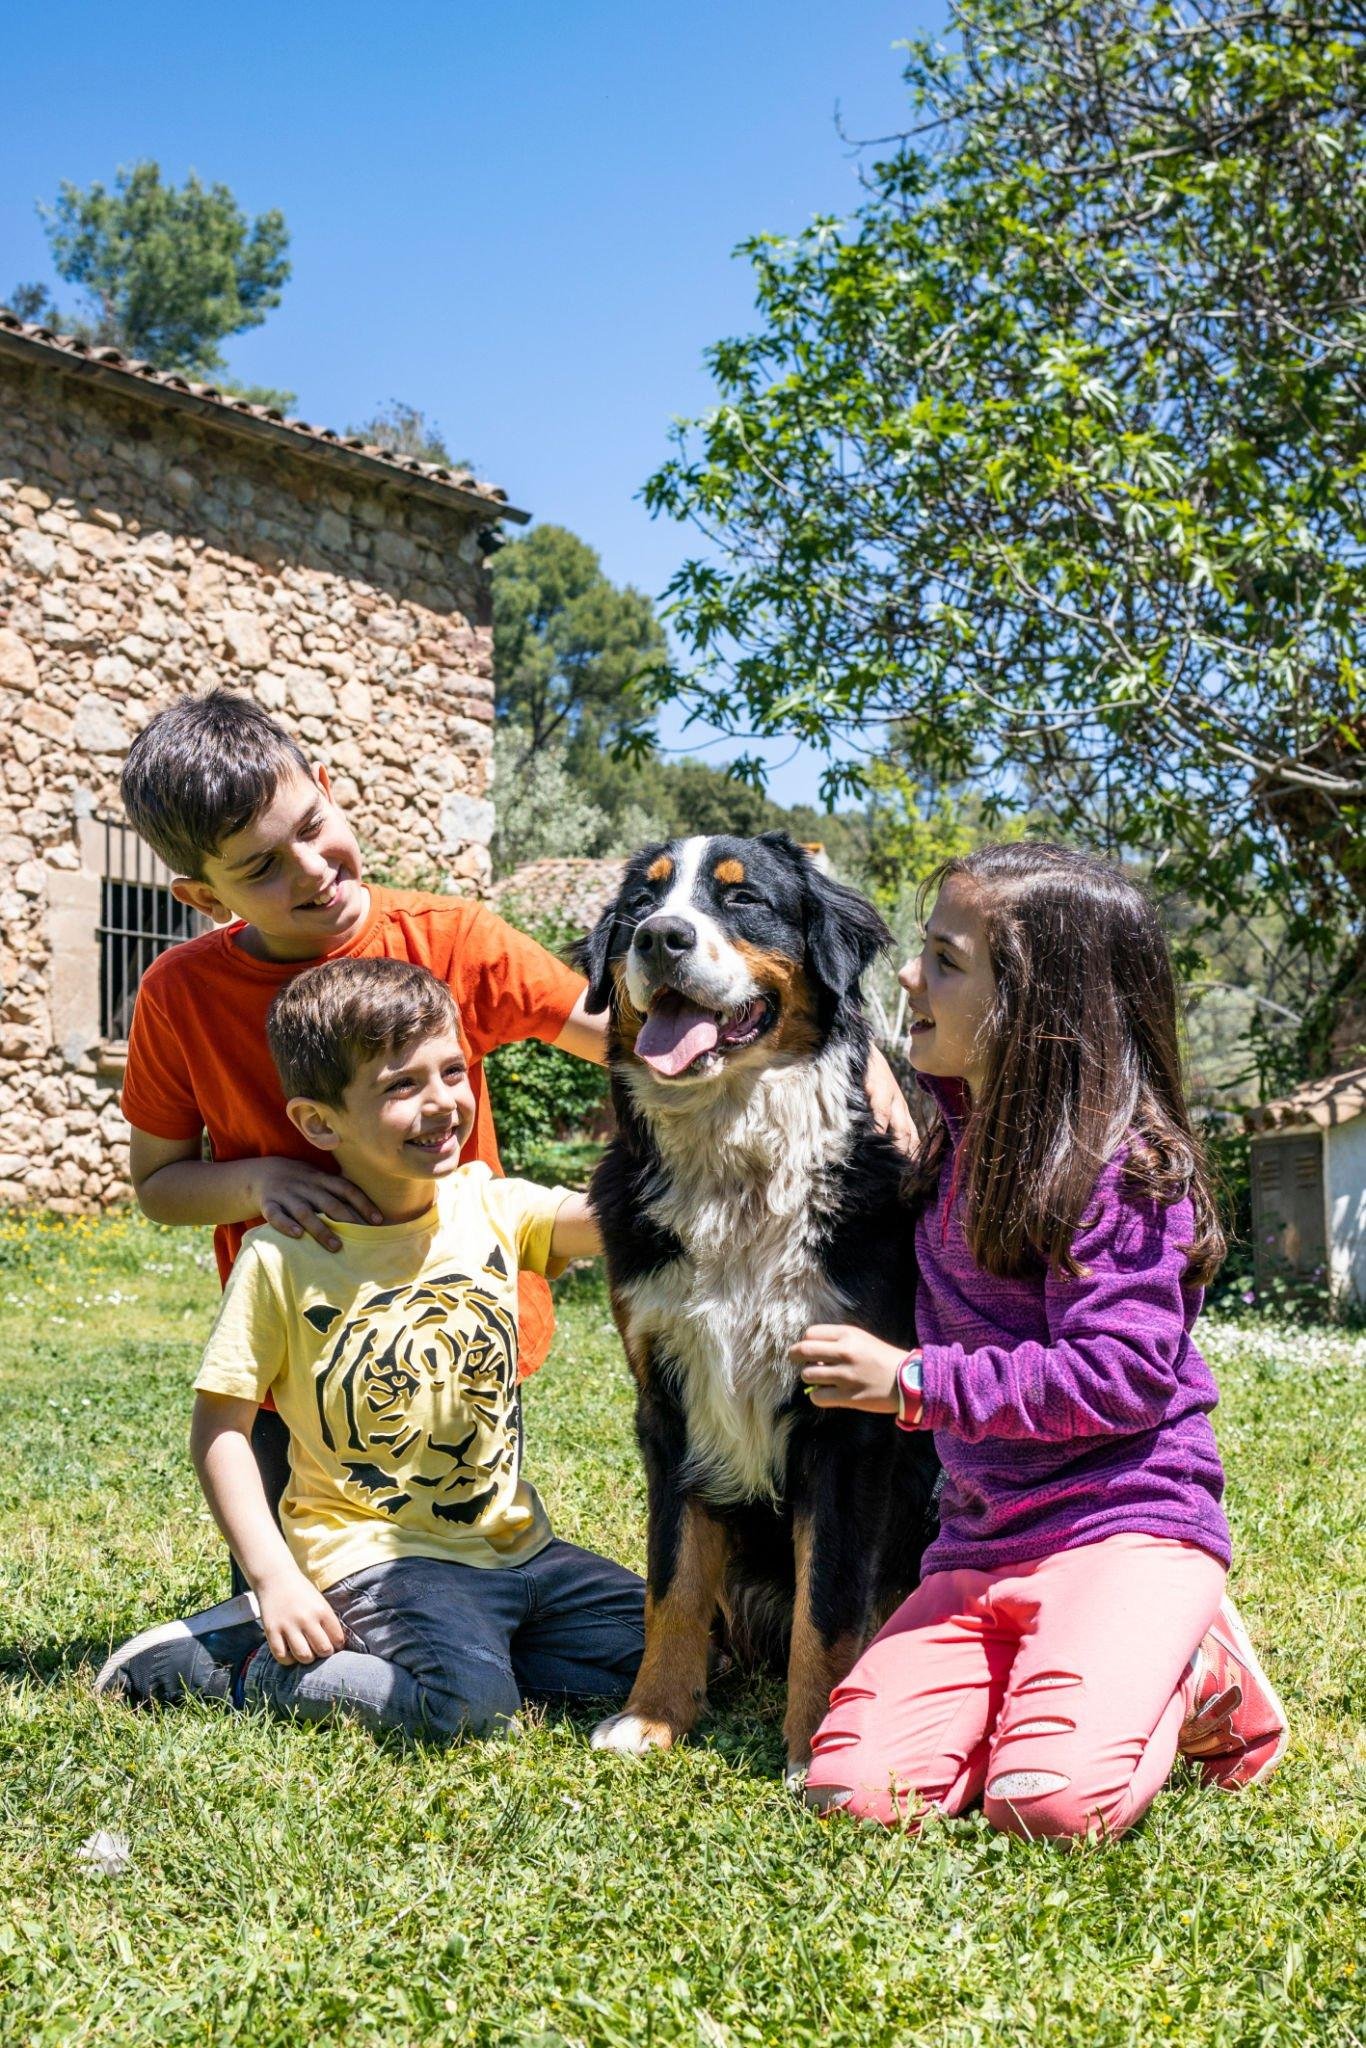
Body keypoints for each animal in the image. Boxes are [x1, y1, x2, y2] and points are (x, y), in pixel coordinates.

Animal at [573, 827, 942, 1777]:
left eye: (742, 899)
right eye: (643, 900)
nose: (659, 938)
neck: (735, 1169)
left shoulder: (845, 1419)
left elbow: (830, 1601)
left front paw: (815, 1743)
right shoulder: (668, 1400)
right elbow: (673, 1579)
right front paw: (654, 1714)